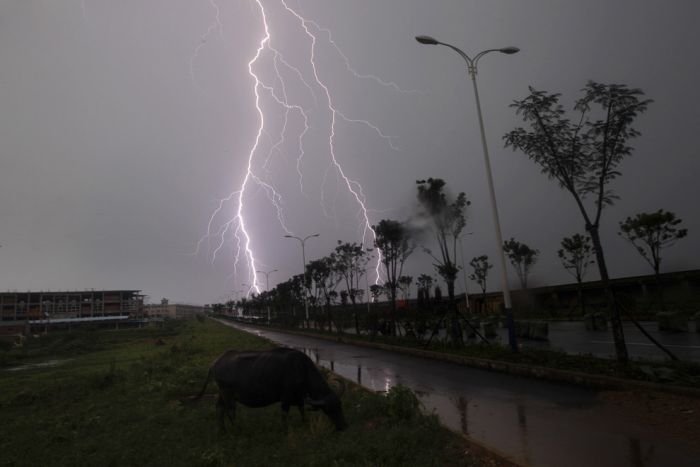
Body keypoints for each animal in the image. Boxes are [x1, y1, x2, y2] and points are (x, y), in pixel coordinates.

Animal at [191, 348, 348, 432]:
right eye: (329, 409)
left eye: (340, 406)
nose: (342, 426)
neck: (301, 369)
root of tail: (215, 363)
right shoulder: (286, 398)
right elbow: (284, 414)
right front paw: (285, 430)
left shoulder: (299, 397)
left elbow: (302, 409)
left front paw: (304, 422)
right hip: (227, 394)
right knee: (230, 411)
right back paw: (238, 429)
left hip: (221, 393)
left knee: (219, 409)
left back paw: (223, 430)